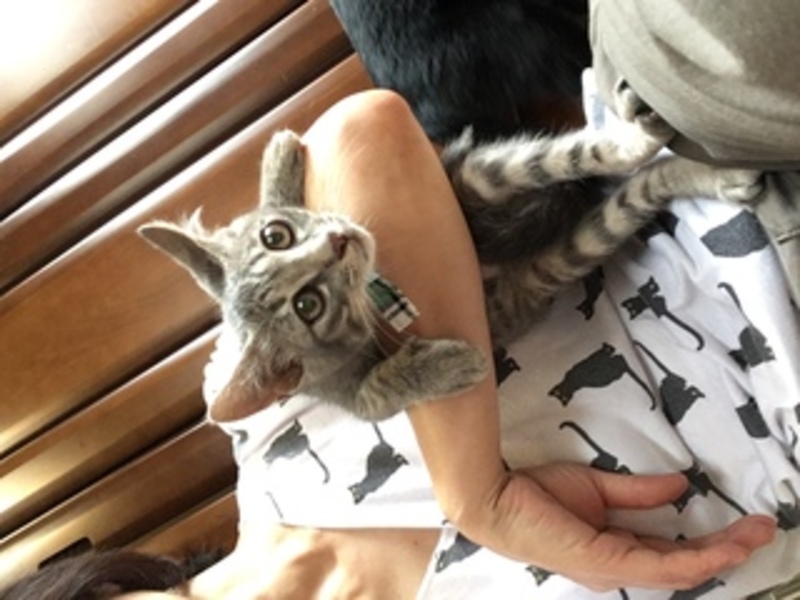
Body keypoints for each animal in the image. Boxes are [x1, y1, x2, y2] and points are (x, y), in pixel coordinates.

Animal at [139, 83, 763, 423]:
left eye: (276, 235)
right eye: (308, 306)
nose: (339, 242)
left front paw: (280, 160)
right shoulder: (351, 395)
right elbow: (381, 391)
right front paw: (450, 364)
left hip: (470, 179)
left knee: (573, 157)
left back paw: (645, 136)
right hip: (550, 260)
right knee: (632, 189)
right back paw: (712, 173)